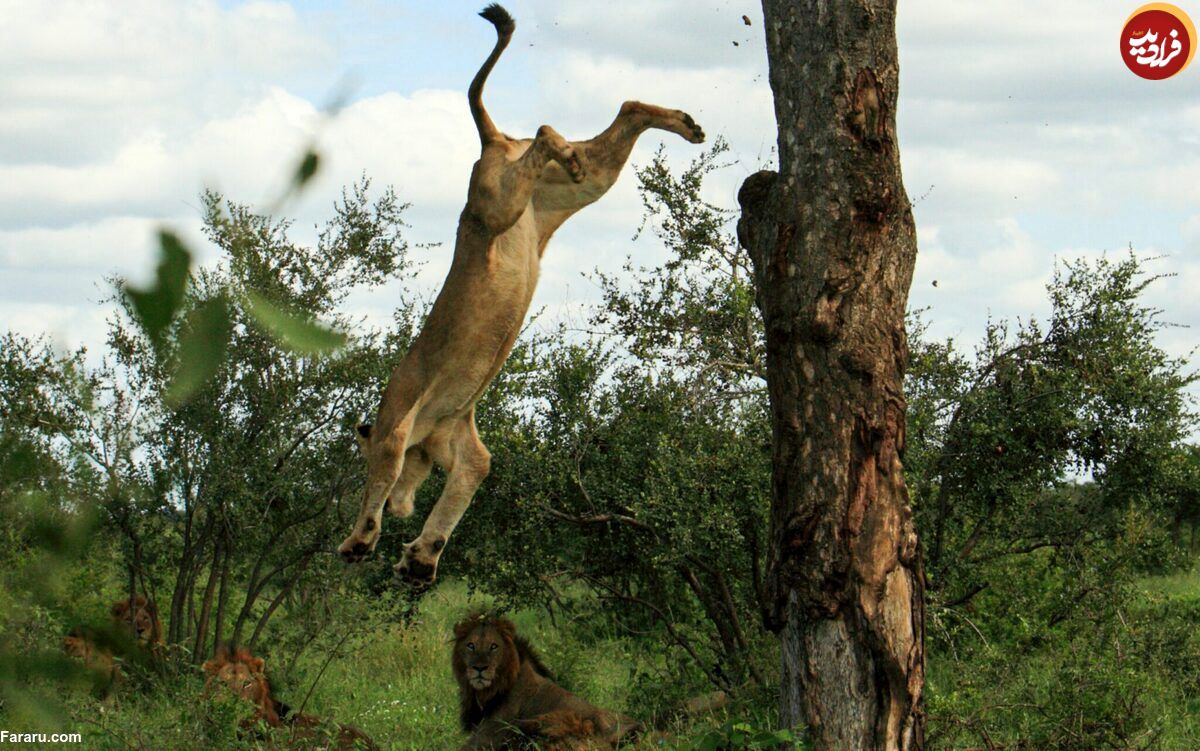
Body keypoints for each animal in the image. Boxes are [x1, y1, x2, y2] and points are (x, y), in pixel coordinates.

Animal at [338, 2, 700, 585]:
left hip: (496, 201)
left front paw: (360, 540)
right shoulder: (462, 446)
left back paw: (568, 145)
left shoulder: (396, 421)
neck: (430, 434)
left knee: (544, 129)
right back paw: (684, 125)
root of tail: (494, 141)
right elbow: (463, 491)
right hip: (577, 188)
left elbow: (380, 476)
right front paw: (421, 558)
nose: (400, 512)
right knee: (624, 111)